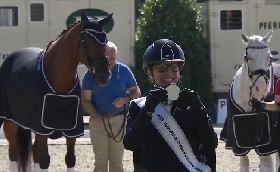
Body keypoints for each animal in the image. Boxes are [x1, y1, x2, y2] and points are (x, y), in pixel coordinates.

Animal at [0, 11, 112, 171]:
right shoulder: (42, 130)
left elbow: (70, 159)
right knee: (14, 153)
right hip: (10, 122)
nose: (104, 76)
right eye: (88, 41)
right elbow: (44, 160)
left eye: (105, 41)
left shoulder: (72, 132)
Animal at [221, 29, 278, 172]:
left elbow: (268, 163)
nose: (261, 88)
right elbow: (244, 162)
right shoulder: (238, 144)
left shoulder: (266, 144)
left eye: (269, 57)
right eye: (248, 58)